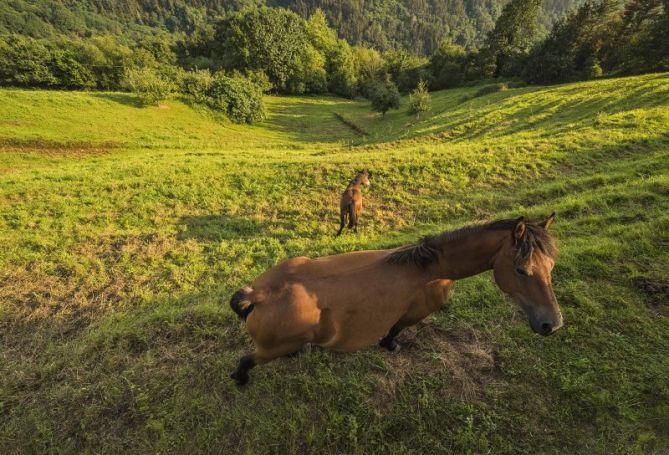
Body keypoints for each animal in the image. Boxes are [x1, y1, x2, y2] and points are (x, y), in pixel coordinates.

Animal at [227, 214, 560, 384]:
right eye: (521, 269)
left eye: (551, 265)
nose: (552, 324)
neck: (427, 268)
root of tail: (258, 294)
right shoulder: (415, 311)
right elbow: (396, 328)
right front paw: (390, 344)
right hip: (272, 348)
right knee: (247, 360)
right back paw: (241, 378)